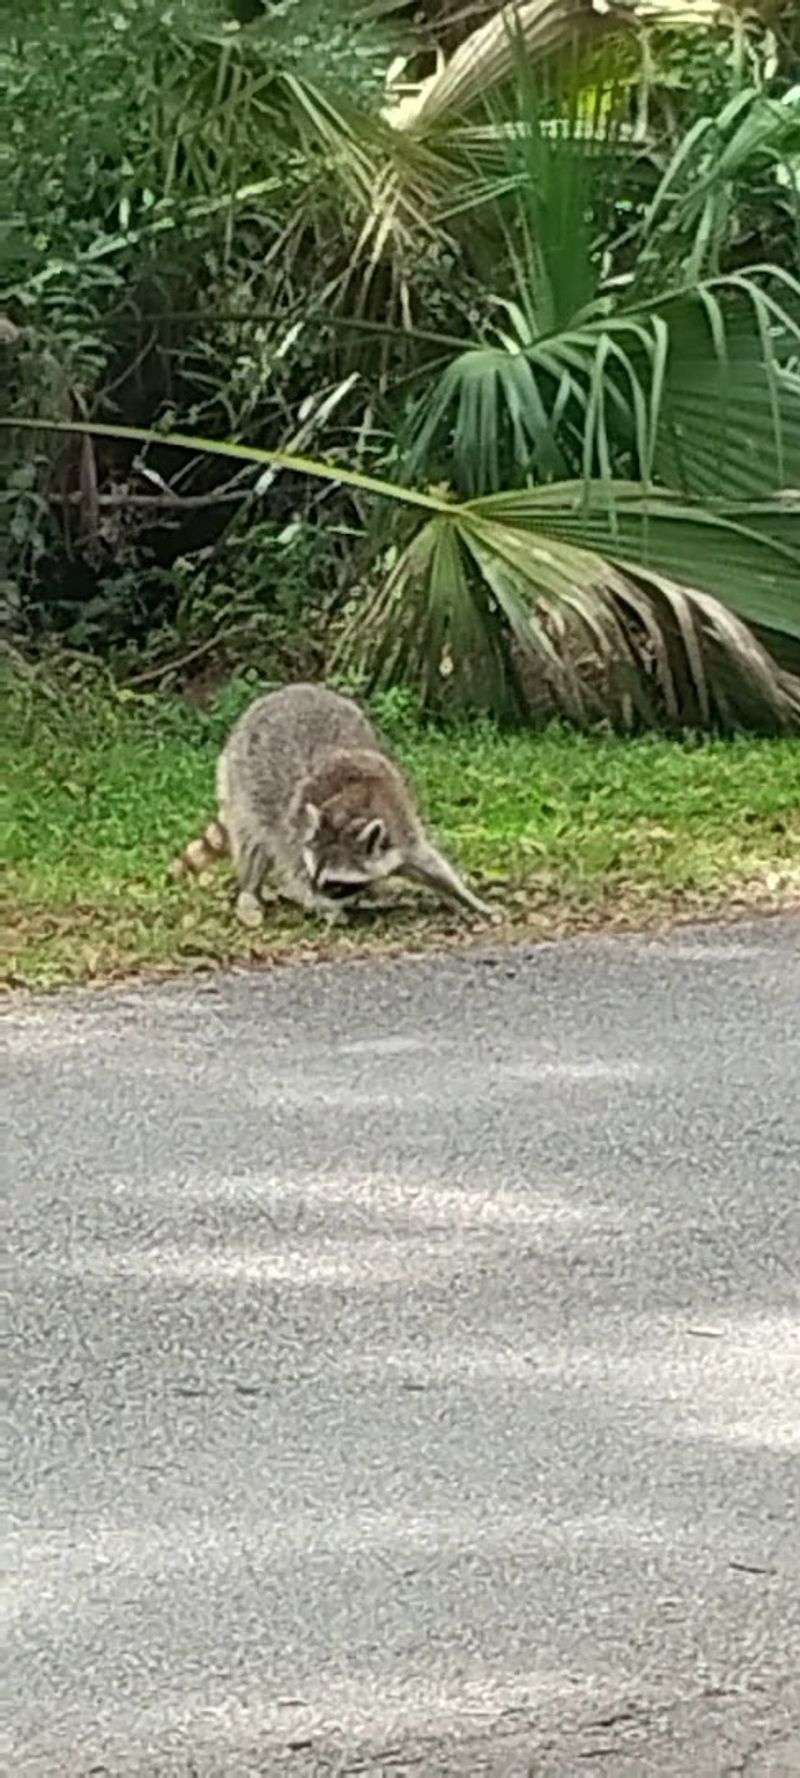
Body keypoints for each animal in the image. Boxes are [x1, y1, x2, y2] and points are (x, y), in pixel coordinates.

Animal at [170, 682, 494, 926]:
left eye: (334, 882)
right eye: (315, 875)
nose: (316, 893)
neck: (352, 810)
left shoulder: (400, 820)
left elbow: (427, 861)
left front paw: (466, 897)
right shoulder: (295, 828)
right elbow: (290, 872)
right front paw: (319, 904)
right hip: (241, 775)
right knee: (253, 840)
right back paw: (250, 892)